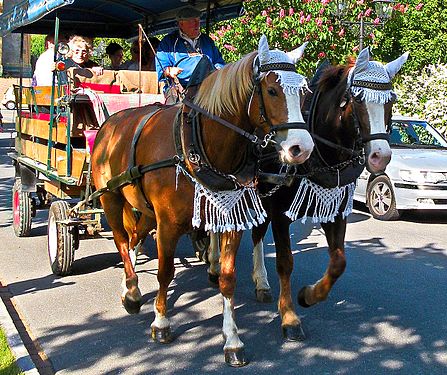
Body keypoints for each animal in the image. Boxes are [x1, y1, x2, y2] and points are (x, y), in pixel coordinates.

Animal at [91, 36, 316, 368]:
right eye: (272, 91)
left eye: (302, 93)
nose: (302, 148)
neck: (200, 144)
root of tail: (110, 124)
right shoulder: (168, 224)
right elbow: (165, 272)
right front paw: (161, 323)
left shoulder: (231, 220)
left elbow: (228, 278)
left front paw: (232, 340)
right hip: (110, 197)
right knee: (121, 240)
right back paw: (131, 290)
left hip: (145, 209)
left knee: (134, 238)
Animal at [206, 46, 410, 340]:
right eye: (357, 100)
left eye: (390, 100)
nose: (380, 156)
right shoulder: (280, 212)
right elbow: (285, 262)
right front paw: (290, 316)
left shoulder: (335, 210)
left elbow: (338, 262)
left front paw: (309, 296)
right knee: (214, 225)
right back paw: (213, 264)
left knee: (256, 234)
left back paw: (261, 282)